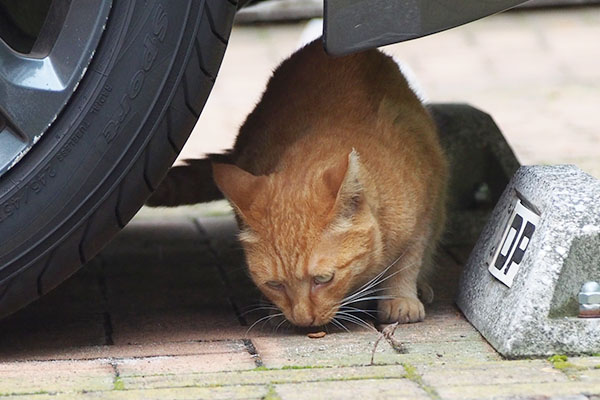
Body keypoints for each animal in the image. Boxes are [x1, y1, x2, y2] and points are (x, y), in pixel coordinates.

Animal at [152, 39, 448, 328]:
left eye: (323, 279)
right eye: (274, 284)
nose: (303, 320)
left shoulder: (424, 209)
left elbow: (406, 262)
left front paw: (400, 298)